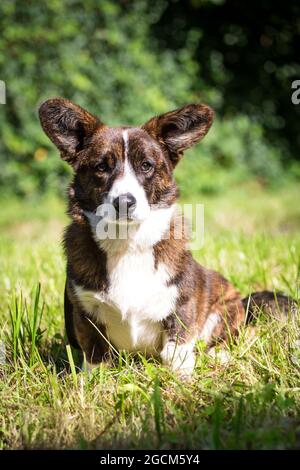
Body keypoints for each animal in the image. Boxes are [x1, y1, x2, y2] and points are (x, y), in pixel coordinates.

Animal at [38, 100, 294, 378]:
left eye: (146, 165)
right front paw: (91, 381)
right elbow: (95, 355)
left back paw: (219, 354)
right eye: (101, 167)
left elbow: (175, 349)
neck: (128, 242)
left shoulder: (182, 304)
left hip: (226, 305)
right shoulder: (84, 312)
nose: (124, 202)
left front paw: (182, 376)